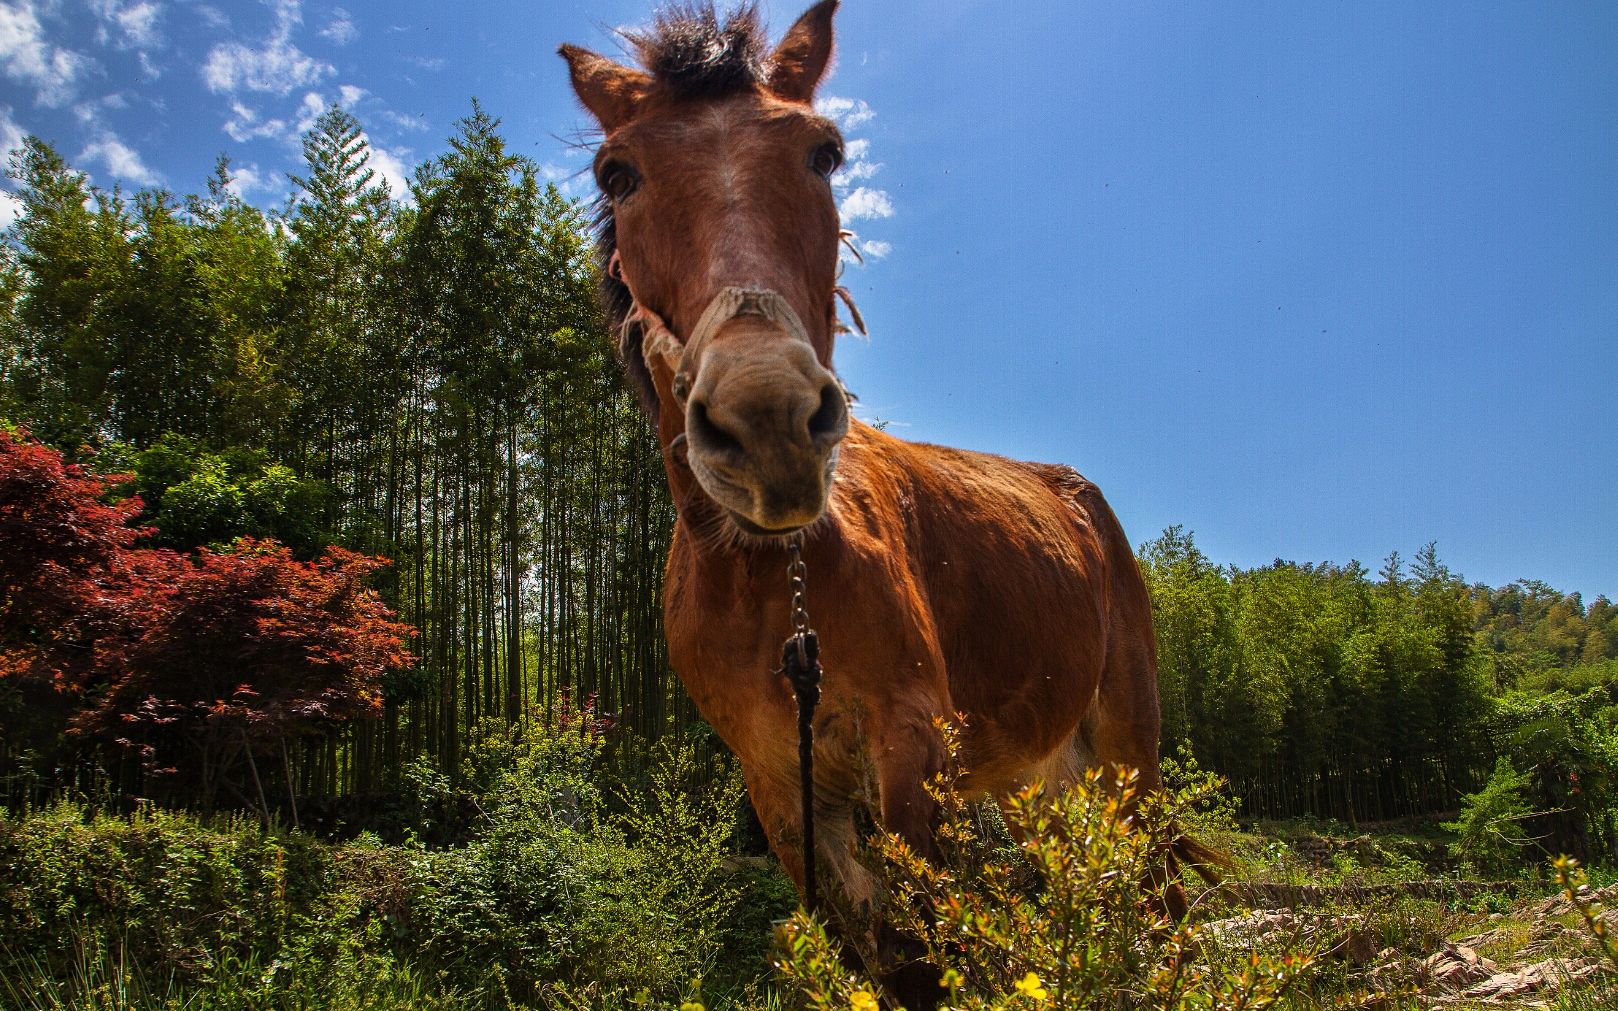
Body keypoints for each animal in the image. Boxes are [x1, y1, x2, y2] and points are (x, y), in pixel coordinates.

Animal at [563, 0, 1210, 996]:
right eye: (618, 174)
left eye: (825, 154)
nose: (768, 421)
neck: (775, 581)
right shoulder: (777, 782)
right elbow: (873, 953)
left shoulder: (912, 744)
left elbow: (924, 953)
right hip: (1042, 775)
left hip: (1126, 746)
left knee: (1156, 901)